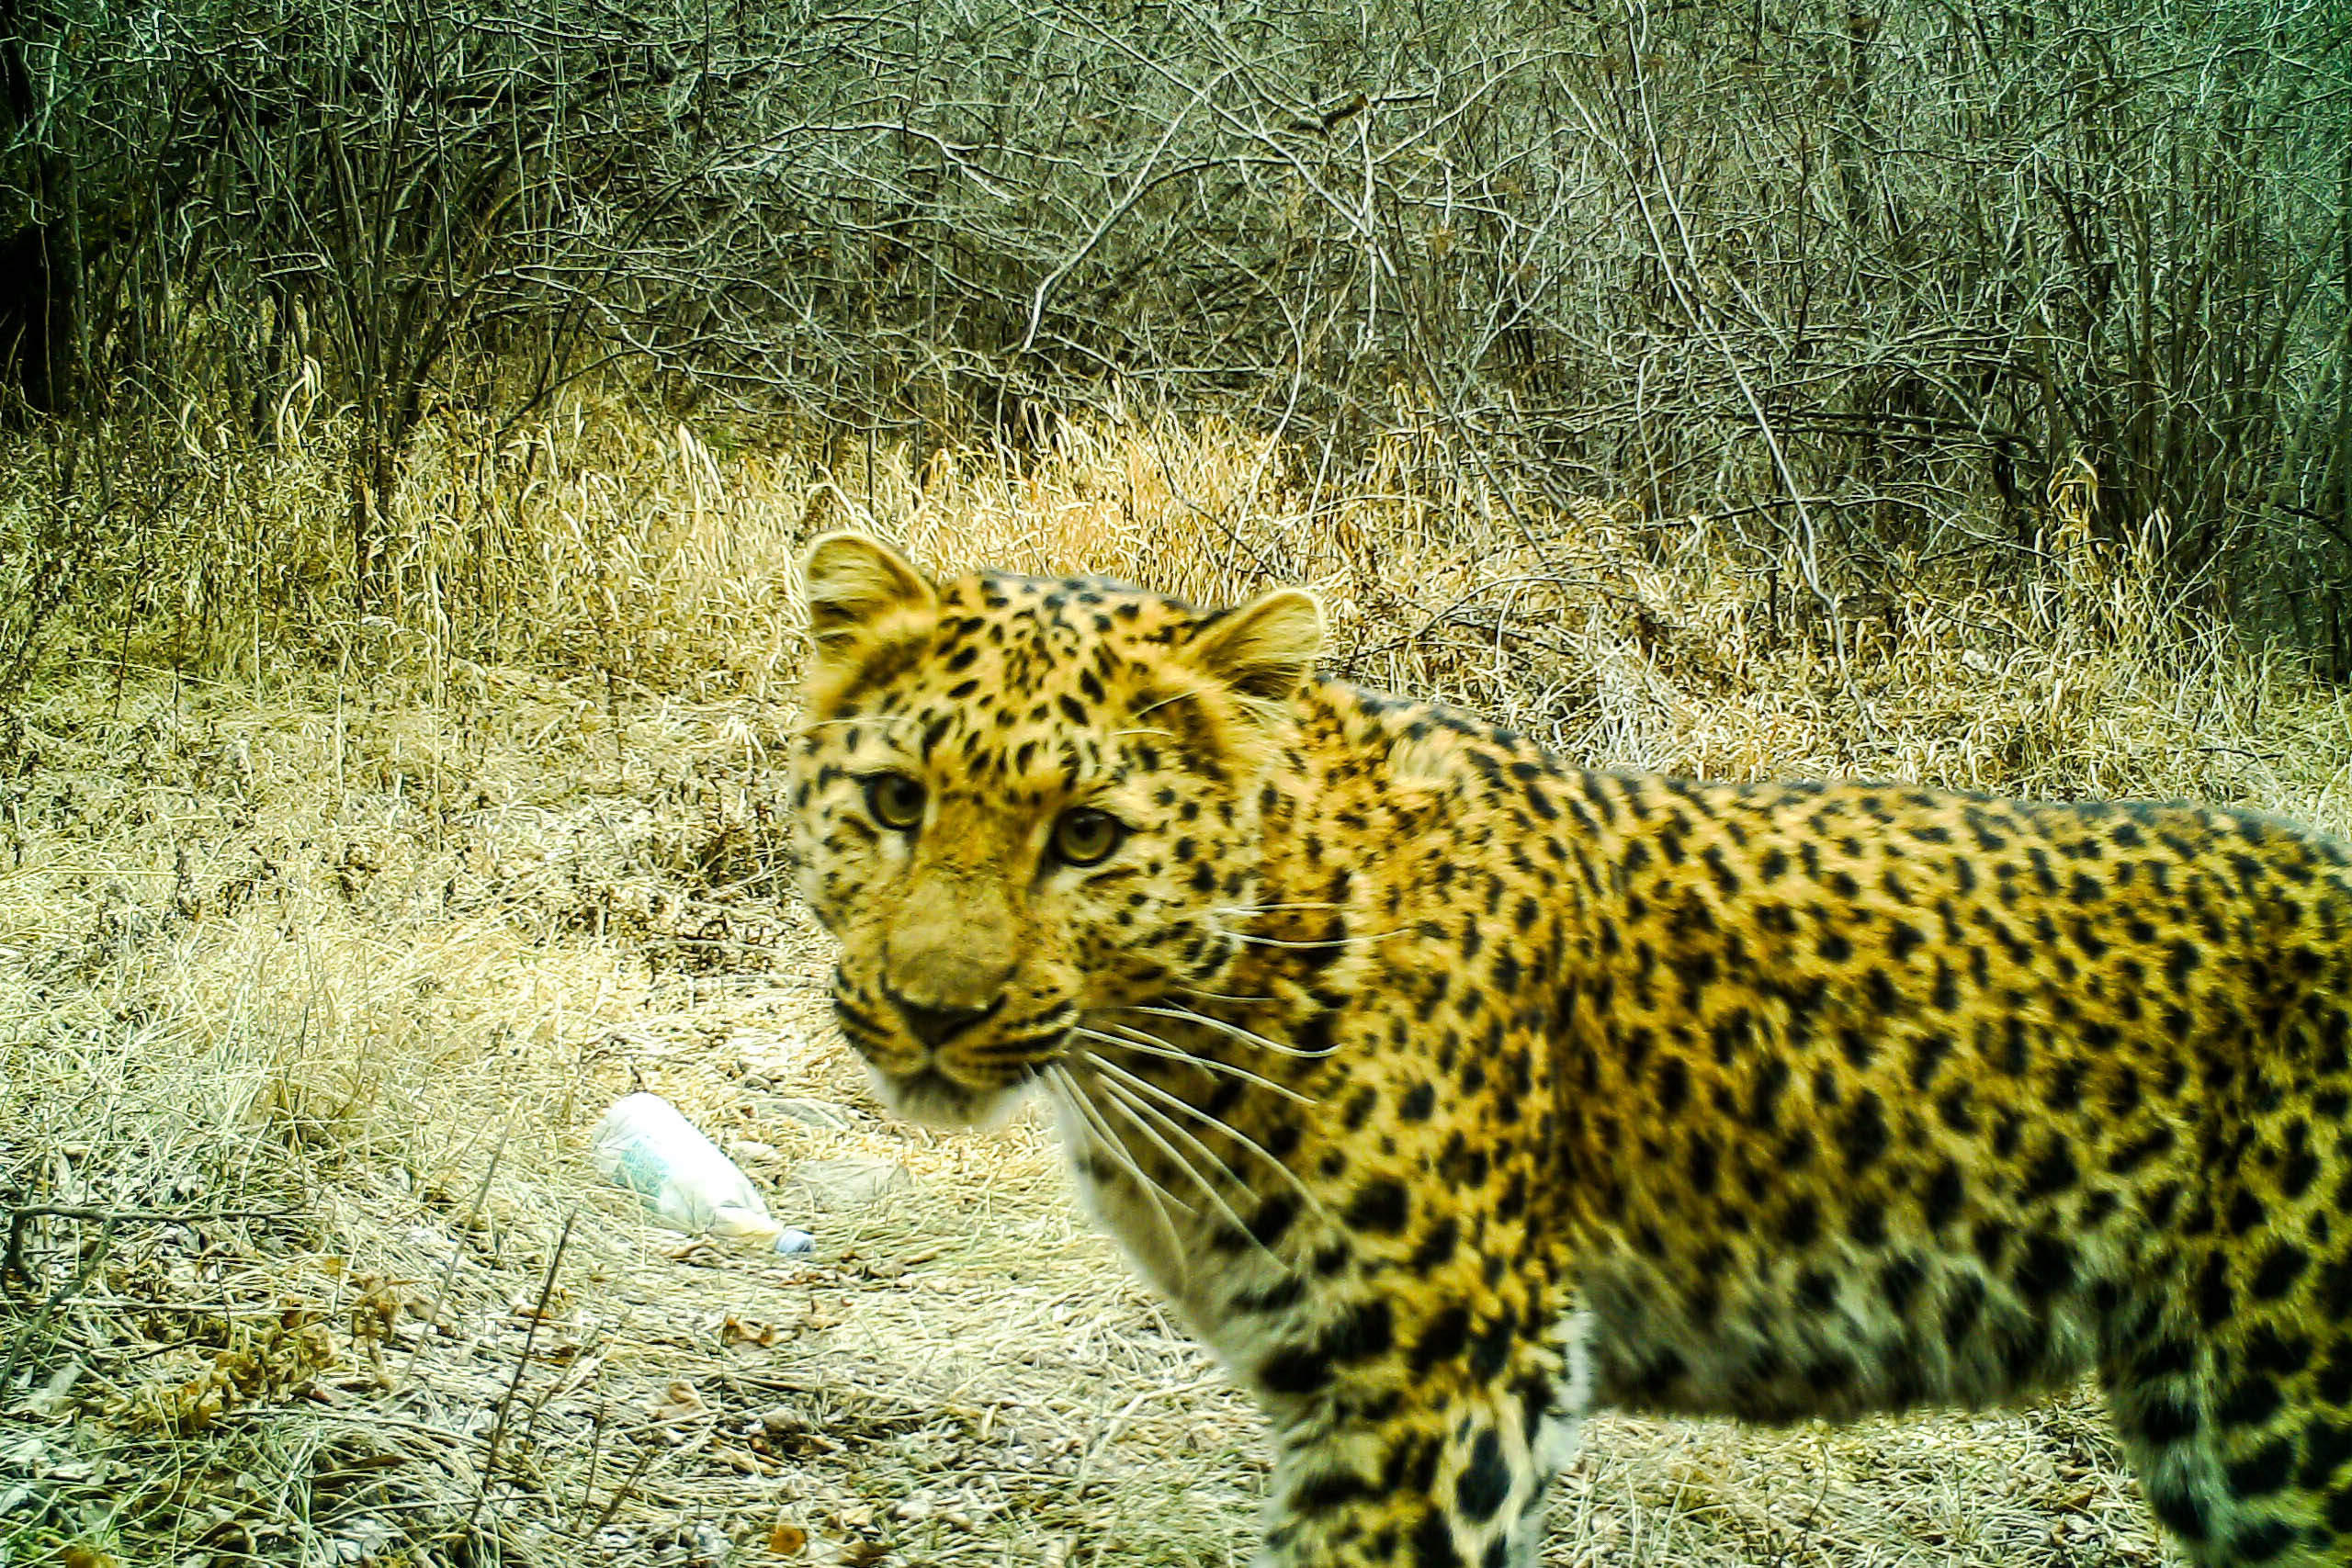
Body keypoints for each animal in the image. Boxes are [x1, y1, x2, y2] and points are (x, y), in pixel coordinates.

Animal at [786, 531, 2352, 1568]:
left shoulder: (1439, 1379)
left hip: (2286, 1399)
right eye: (895, 799)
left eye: (1089, 835)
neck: (1173, 1049)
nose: (931, 1007)